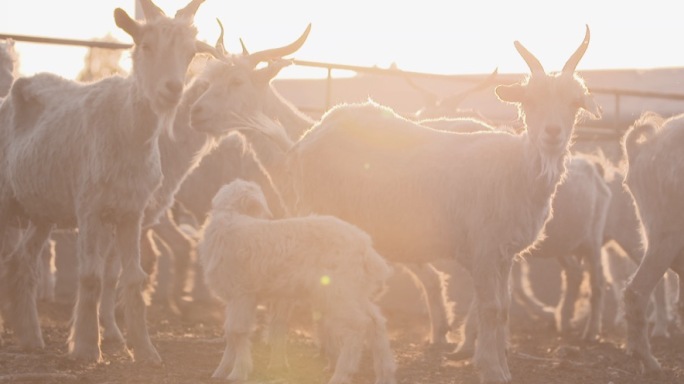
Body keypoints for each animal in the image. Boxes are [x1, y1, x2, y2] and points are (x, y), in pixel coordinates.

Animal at [0, 0, 212, 364]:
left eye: (190, 52)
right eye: (146, 45)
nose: (172, 90)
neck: (127, 129)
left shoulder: (131, 213)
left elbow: (133, 277)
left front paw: (145, 351)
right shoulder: (90, 208)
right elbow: (91, 275)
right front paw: (87, 347)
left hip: (42, 211)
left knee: (22, 262)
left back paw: (30, 337)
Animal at [198, 178, 396, 382]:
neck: (229, 217)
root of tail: (366, 247)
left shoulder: (242, 293)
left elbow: (237, 331)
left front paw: (238, 372)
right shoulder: (235, 298)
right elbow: (230, 333)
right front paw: (221, 370)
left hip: (338, 291)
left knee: (358, 325)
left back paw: (342, 374)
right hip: (354, 291)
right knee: (376, 322)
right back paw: (385, 374)